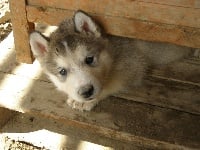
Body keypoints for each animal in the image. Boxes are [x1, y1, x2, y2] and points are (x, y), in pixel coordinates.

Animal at [29, 10, 194, 110]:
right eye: (62, 71)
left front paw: (88, 100)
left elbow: (110, 84)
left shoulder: (134, 66)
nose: (86, 92)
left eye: (89, 59)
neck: (112, 51)